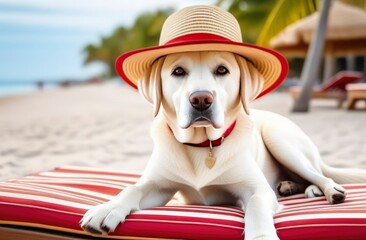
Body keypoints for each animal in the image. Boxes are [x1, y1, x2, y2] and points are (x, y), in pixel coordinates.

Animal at [81, 4, 364, 240]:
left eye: (222, 70)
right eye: (178, 71)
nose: (201, 99)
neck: (202, 145)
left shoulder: (256, 190)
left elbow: (257, 207)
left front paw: (261, 235)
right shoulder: (158, 185)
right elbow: (132, 189)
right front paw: (107, 208)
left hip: (281, 140)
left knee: (319, 174)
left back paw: (326, 190)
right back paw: (291, 186)